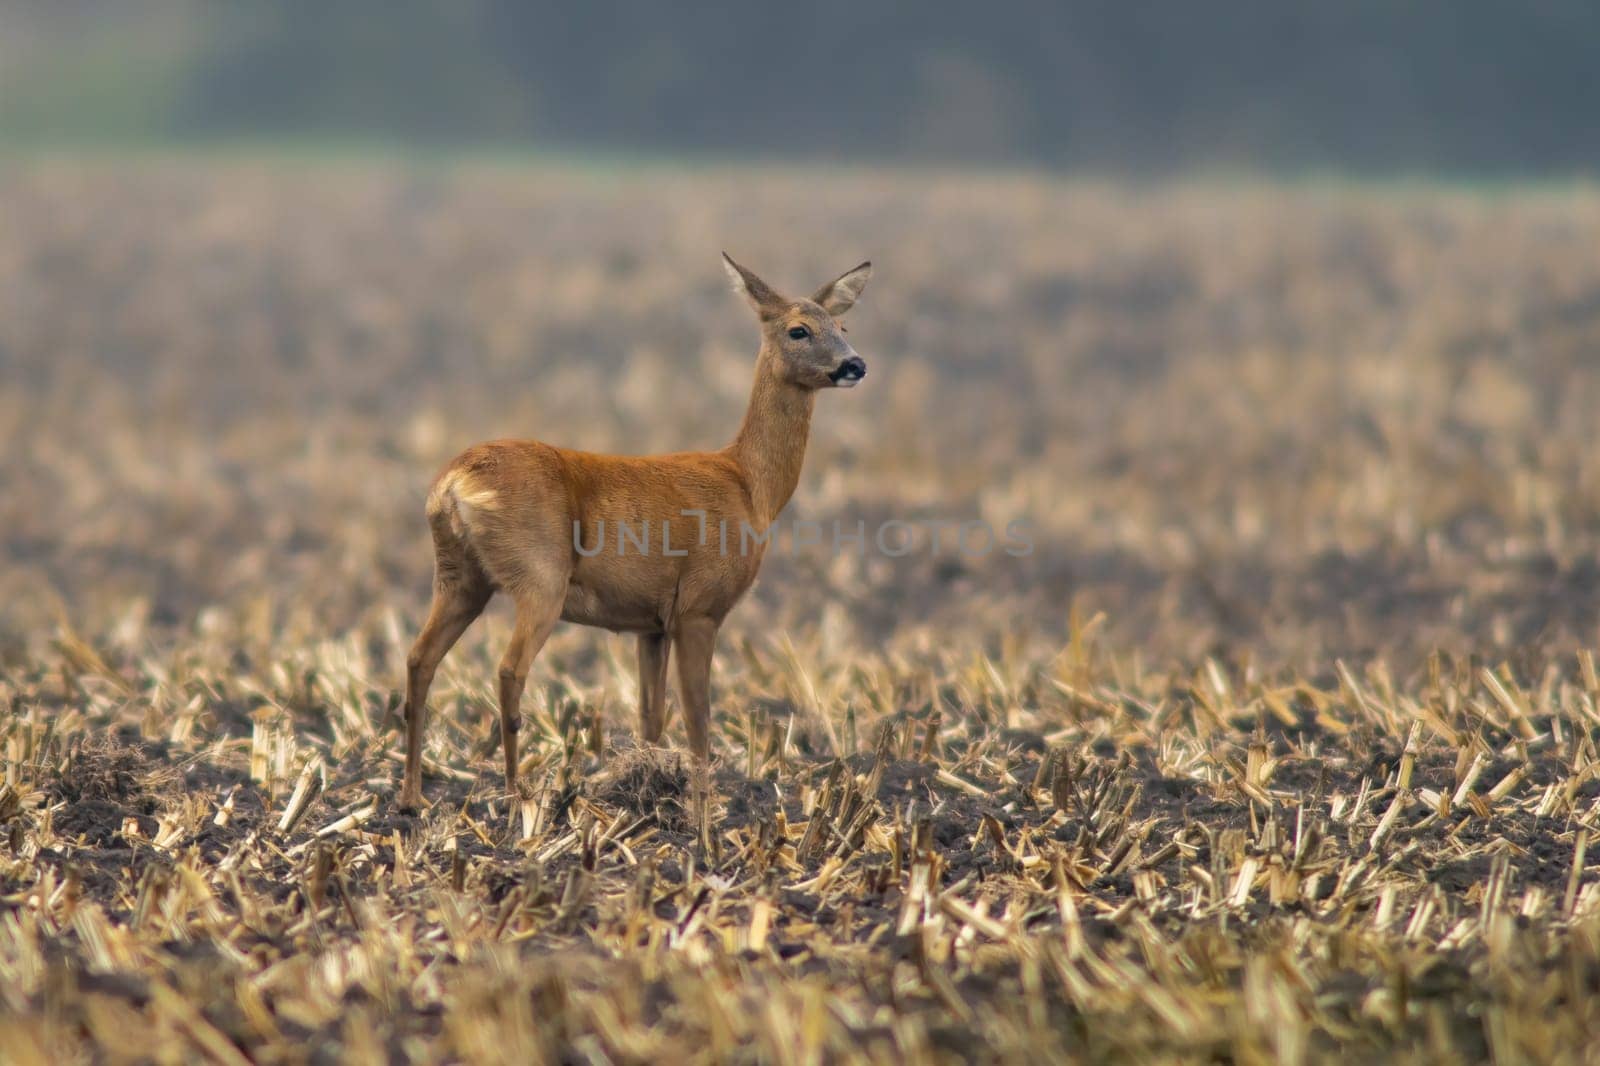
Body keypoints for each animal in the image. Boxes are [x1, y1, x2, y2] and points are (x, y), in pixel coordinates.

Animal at [400, 252, 876, 809]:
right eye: (799, 329)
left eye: (842, 327)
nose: (855, 365)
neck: (750, 487)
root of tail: (452, 484)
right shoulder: (698, 606)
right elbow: (697, 717)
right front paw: (702, 811)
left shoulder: (651, 623)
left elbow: (651, 716)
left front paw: (647, 788)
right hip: (540, 576)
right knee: (509, 670)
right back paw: (517, 797)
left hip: (459, 577)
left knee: (419, 659)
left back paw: (411, 798)